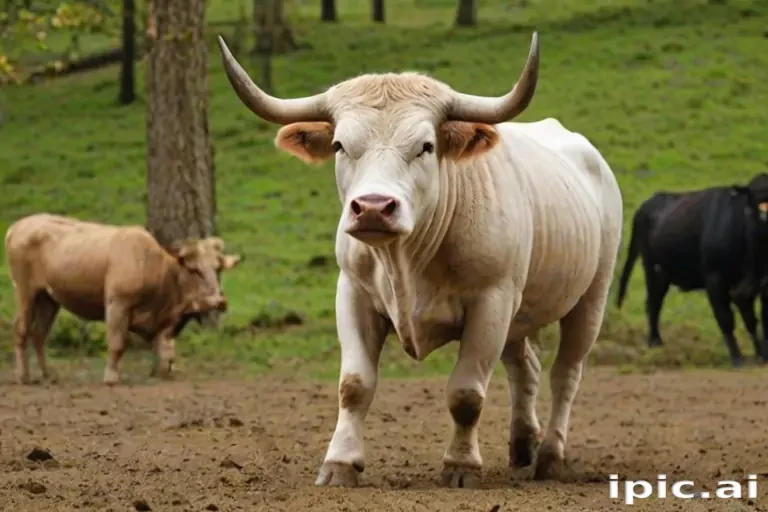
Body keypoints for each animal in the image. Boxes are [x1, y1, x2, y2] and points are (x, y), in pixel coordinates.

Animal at [4, 213, 242, 385]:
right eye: (194, 270)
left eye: (218, 268)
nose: (219, 301)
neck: (155, 267)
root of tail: (17, 227)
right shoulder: (117, 304)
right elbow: (118, 343)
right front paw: (111, 377)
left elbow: (164, 347)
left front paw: (162, 371)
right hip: (26, 292)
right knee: (21, 330)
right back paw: (23, 377)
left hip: (48, 299)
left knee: (39, 334)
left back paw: (48, 374)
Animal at [217, 31, 623, 487]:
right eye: (340, 145)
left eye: (426, 147)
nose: (373, 207)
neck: (406, 262)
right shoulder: (354, 294)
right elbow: (354, 385)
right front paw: (340, 464)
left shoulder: (491, 303)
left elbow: (466, 393)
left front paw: (460, 465)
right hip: (519, 316)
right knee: (526, 369)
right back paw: (522, 446)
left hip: (590, 297)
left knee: (565, 373)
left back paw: (551, 456)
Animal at [616, 173, 768, 367]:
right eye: (754, 200)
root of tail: (651, 201)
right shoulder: (714, 278)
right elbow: (726, 318)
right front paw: (737, 358)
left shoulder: (758, 284)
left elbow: (755, 319)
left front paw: (762, 354)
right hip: (652, 269)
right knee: (652, 303)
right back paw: (654, 341)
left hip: (663, 274)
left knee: (656, 302)